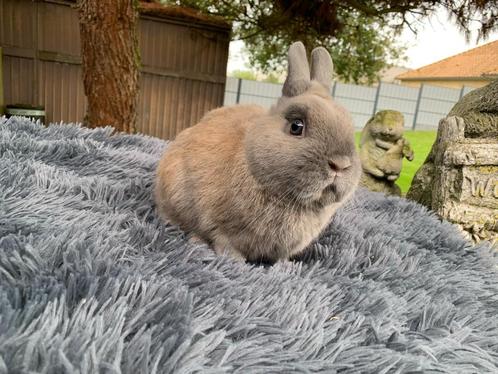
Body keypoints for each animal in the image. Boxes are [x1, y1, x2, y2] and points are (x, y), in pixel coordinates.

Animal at [154, 41, 360, 262]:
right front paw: (234, 262)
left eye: (349, 124)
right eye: (296, 126)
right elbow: (223, 242)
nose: (340, 164)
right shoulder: (220, 227)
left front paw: (285, 266)